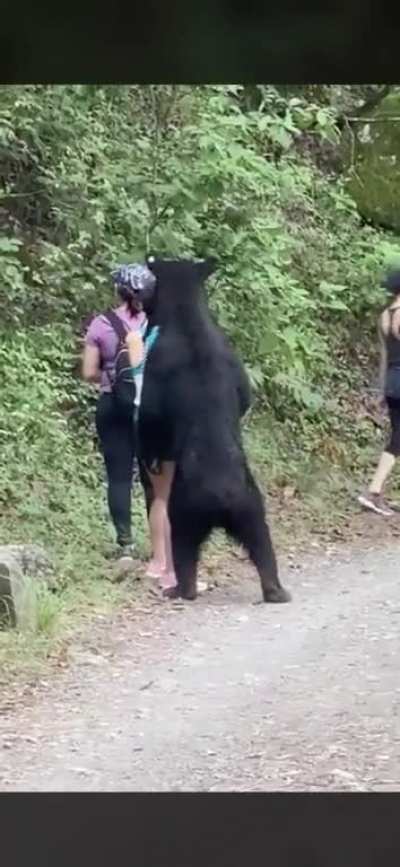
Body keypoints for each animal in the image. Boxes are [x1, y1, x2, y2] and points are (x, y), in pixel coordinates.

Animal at [135, 256, 291, 605]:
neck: (187, 317)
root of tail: (222, 499)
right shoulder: (232, 360)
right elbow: (245, 396)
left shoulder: (156, 366)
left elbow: (150, 416)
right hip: (251, 504)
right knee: (262, 541)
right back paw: (276, 589)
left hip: (186, 507)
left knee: (182, 544)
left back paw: (180, 589)